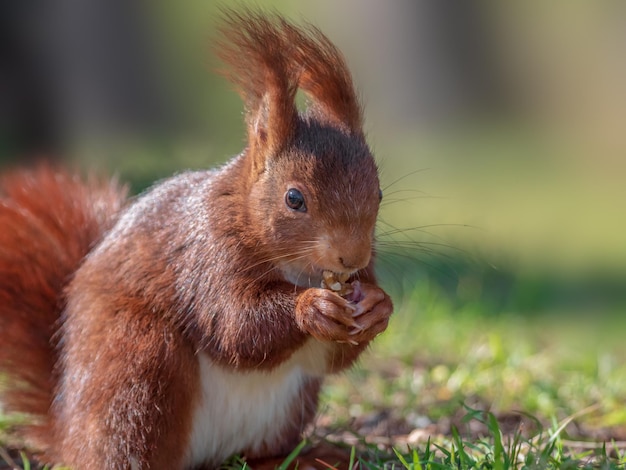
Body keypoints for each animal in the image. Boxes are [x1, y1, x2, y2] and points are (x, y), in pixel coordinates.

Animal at [0, 8, 390, 470]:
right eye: (294, 198)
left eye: (379, 193)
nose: (352, 257)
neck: (294, 267)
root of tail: (69, 435)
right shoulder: (207, 256)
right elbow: (235, 325)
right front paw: (311, 306)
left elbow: (327, 357)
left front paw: (378, 306)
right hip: (138, 364)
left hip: (285, 410)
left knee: (258, 453)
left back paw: (309, 457)